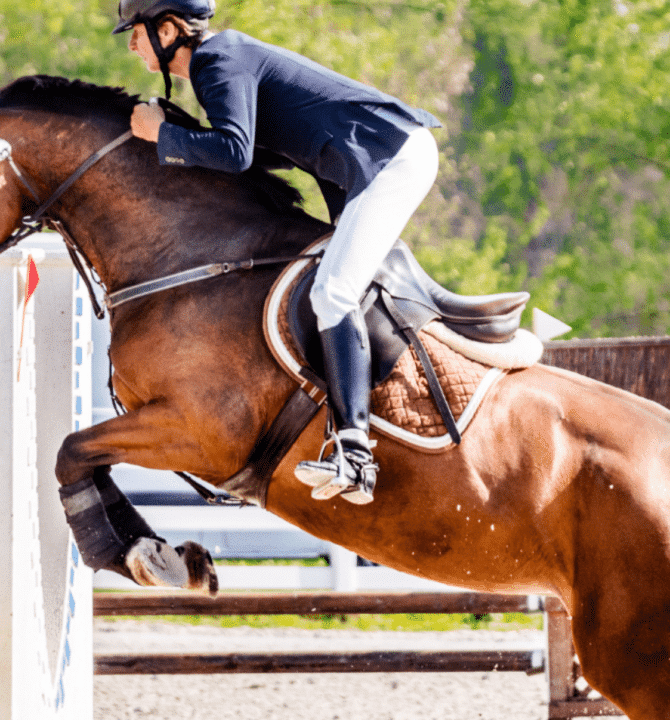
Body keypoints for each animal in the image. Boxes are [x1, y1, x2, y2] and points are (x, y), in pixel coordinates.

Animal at [2, 75, 670, 719]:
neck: (192, 259)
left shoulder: (197, 430)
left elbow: (71, 452)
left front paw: (142, 555)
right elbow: (84, 460)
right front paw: (166, 557)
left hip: (631, 658)